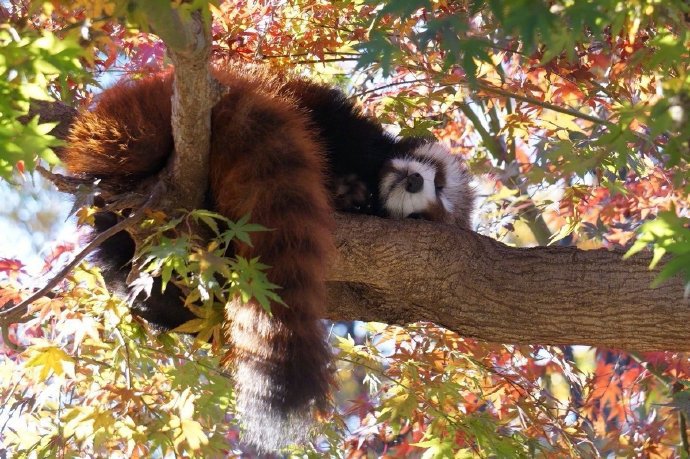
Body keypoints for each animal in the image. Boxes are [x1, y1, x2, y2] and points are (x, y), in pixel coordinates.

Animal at [60, 63, 472, 452]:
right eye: (437, 180)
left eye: (427, 210)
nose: (415, 182)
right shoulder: (347, 125)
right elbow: (334, 120)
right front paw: (348, 186)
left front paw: (350, 195)